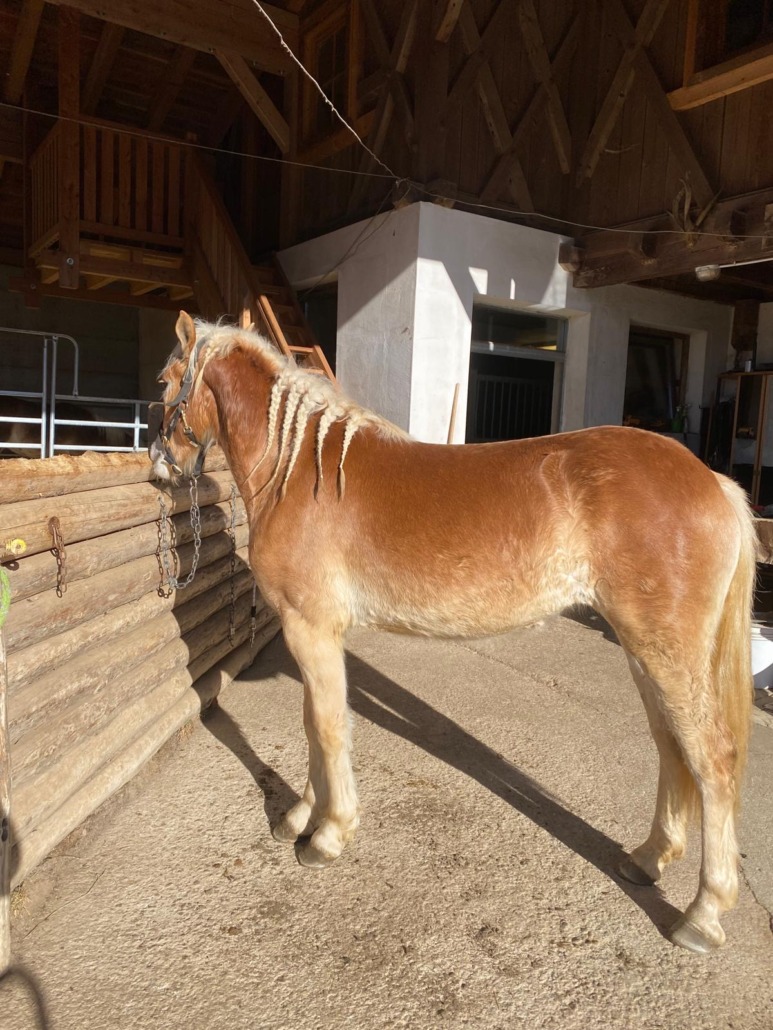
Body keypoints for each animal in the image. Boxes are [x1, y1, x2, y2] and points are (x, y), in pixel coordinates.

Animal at [149, 311, 756, 955]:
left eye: (165, 381)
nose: (159, 467)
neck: (301, 471)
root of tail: (713, 481)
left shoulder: (309, 627)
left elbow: (327, 728)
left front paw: (329, 834)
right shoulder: (316, 634)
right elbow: (317, 726)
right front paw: (299, 819)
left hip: (666, 650)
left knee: (712, 758)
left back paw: (703, 913)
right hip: (646, 650)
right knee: (671, 746)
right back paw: (647, 858)